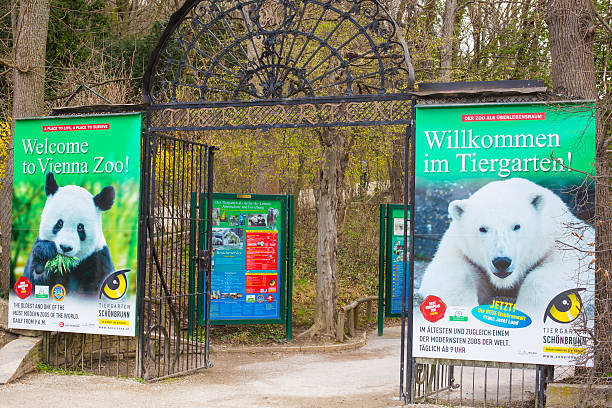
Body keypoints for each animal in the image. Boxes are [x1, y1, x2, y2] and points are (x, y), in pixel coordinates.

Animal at [416, 178, 592, 316]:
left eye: (516, 226)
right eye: (482, 228)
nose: (502, 261)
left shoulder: (561, 240)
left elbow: (569, 271)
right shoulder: (458, 246)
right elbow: (449, 273)